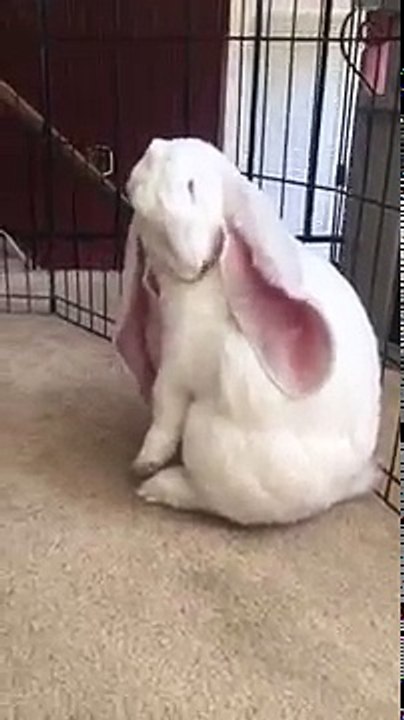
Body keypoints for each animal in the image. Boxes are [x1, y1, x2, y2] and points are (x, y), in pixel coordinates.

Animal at [114, 137, 381, 526]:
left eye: (192, 186)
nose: (153, 148)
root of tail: (336, 489)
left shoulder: (179, 364)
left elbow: (165, 408)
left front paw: (143, 463)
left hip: (209, 441)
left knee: (209, 497)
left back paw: (158, 486)